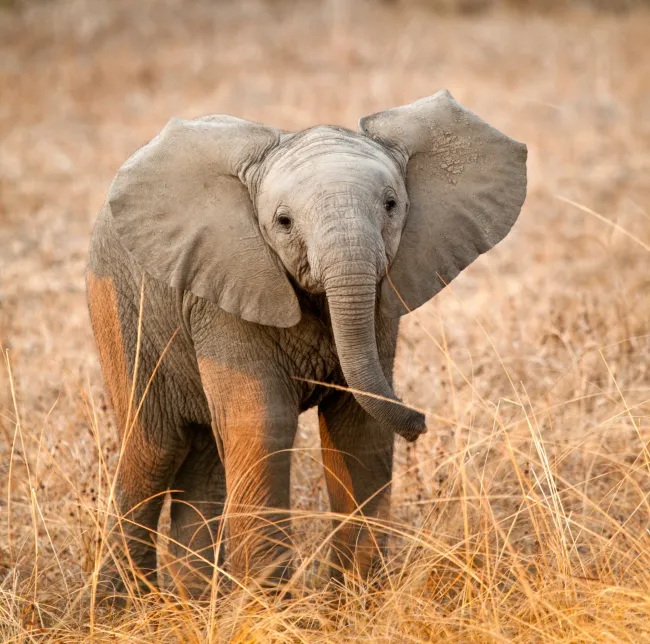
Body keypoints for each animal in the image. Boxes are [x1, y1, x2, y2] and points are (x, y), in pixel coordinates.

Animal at [86, 90, 527, 598]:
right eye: (283, 221)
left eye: (392, 204)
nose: (421, 423)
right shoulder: (225, 290)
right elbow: (263, 425)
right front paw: (269, 609)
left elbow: (359, 427)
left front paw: (358, 603)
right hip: (117, 308)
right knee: (152, 451)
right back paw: (124, 606)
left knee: (203, 463)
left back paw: (194, 604)